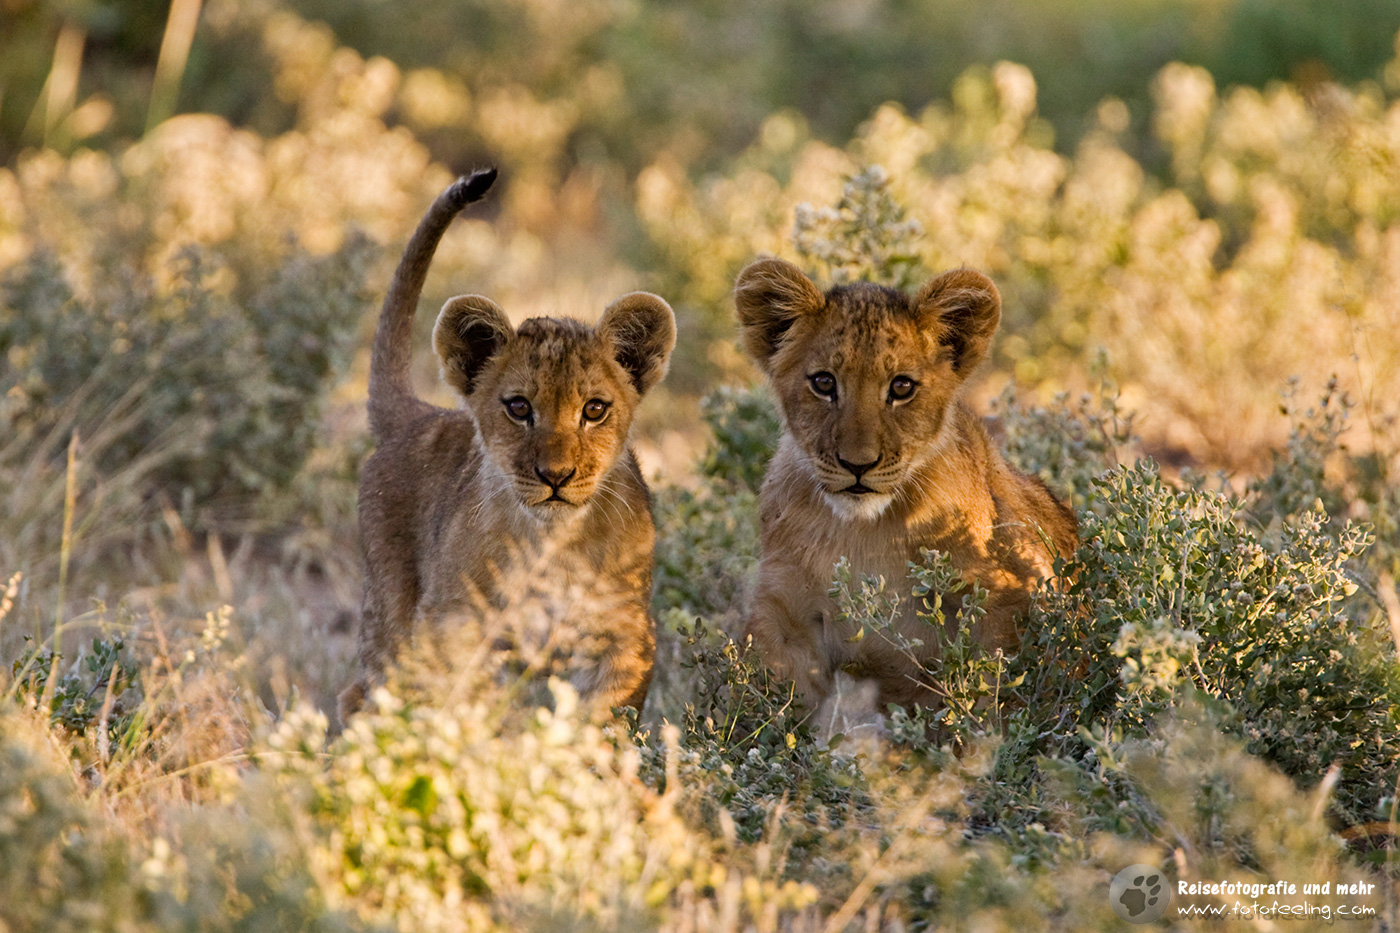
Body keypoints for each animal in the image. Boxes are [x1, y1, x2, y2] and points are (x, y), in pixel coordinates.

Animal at [338, 169, 676, 722]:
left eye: (595, 410)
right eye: (519, 408)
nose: (556, 476)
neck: (553, 544)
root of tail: (418, 414)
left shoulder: (624, 637)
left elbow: (602, 724)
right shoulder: (453, 625)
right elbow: (462, 712)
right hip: (391, 619)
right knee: (361, 696)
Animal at [733, 257, 1078, 715]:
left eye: (901, 386)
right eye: (824, 383)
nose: (857, 465)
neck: (861, 532)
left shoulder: (1009, 593)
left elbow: (990, 701)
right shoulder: (784, 612)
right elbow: (777, 705)